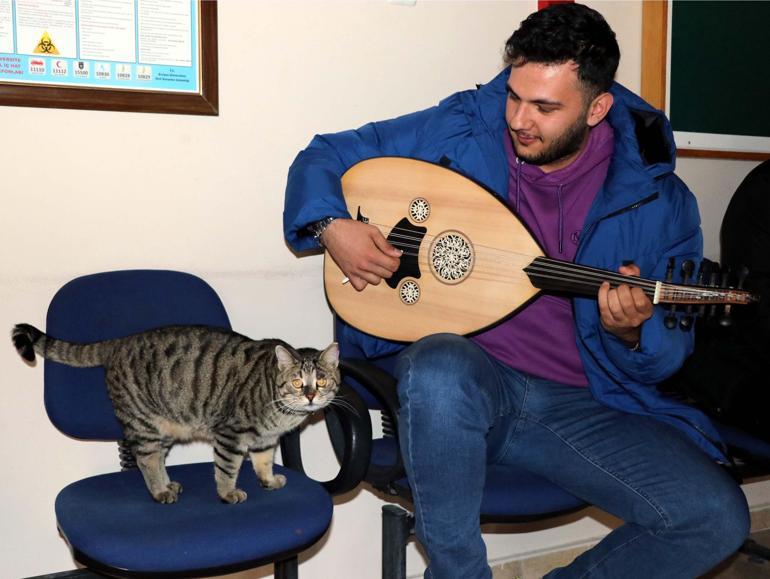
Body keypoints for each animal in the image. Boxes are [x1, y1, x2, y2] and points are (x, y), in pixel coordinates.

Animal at [10, 324, 338, 506]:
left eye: (322, 382)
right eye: (297, 382)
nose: (310, 395)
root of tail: (121, 341)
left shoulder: (265, 439)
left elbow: (264, 462)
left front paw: (268, 481)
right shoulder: (230, 434)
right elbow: (227, 469)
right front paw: (228, 493)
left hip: (164, 426)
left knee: (154, 459)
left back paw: (167, 485)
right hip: (144, 424)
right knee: (146, 460)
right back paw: (159, 491)